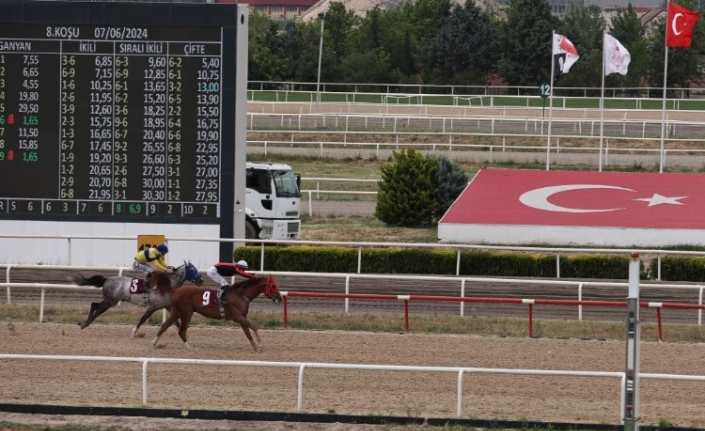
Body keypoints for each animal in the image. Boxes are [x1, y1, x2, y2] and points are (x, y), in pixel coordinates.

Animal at [71, 262, 204, 336]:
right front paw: (133, 332)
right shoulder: (152, 307)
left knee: (94, 305)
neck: (167, 285)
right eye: (192, 270)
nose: (202, 280)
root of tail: (107, 279)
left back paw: (84, 323)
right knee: (95, 306)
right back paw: (85, 324)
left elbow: (176, 322)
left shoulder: (167, 306)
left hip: (110, 301)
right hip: (111, 301)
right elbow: (142, 320)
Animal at [151, 276, 280, 352]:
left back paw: (154, 343)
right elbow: (254, 326)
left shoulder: (242, 317)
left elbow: (248, 333)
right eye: (273, 286)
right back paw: (191, 348)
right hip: (186, 313)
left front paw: (255, 347)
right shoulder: (238, 317)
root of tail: (176, 290)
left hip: (177, 313)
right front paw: (260, 343)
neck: (241, 295)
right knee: (181, 331)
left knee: (164, 326)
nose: (279, 298)